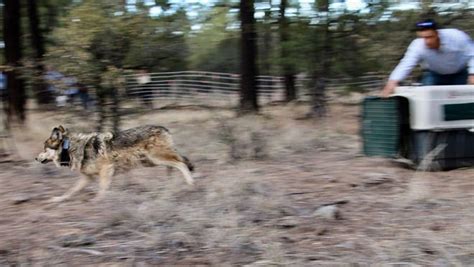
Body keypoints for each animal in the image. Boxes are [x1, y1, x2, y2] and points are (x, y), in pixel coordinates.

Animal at [34, 125, 194, 203]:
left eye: (44, 149)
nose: (35, 158)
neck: (71, 148)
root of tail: (165, 129)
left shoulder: (106, 169)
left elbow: (102, 188)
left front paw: (98, 200)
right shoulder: (87, 177)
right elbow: (70, 191)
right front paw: (58, 199)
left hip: (156, 158)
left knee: (181, 164)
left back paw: (190, 183)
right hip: (151, 161)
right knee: (174, 166)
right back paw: (169, 188)